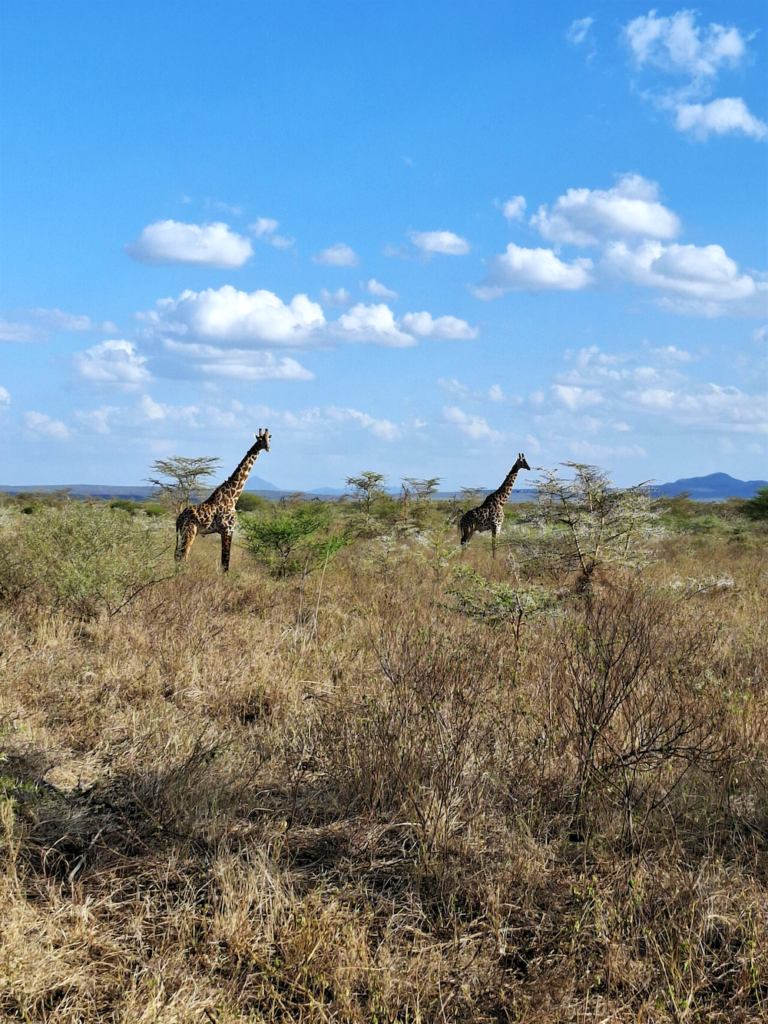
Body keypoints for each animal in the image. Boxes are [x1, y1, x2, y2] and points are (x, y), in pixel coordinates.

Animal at [175, 429, 270, 572]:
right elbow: (225, 561)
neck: (233, 496)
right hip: (189, 531)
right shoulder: (226, 528)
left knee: (177, 555)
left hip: (184, 533)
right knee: (183, 555)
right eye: (260, 440)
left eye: (269, 439)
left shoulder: (231, 529)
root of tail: (178, 519)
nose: (268, 448)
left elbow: (226, 560)